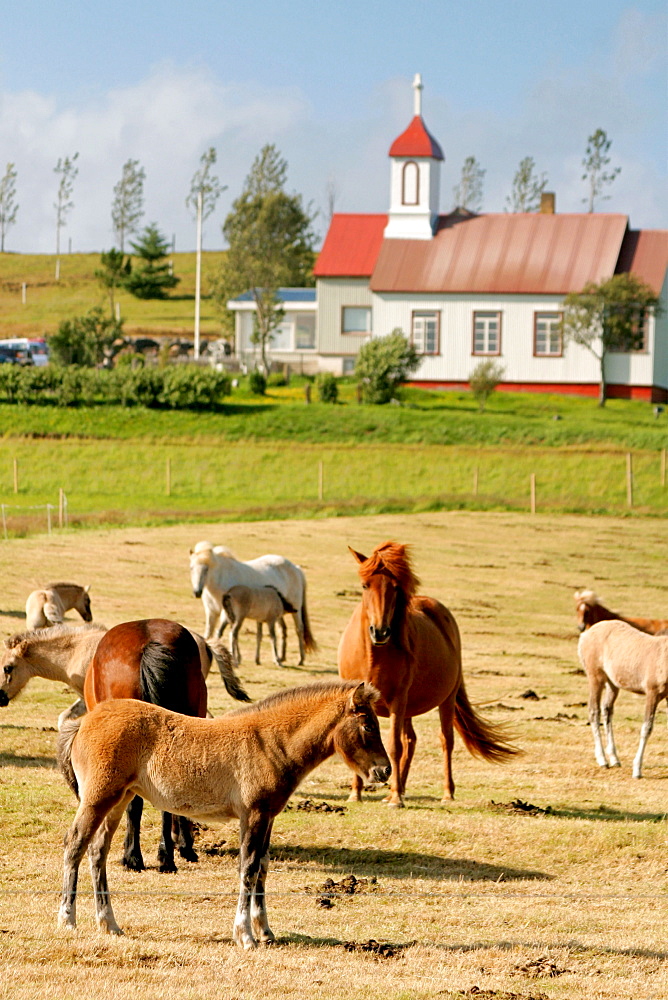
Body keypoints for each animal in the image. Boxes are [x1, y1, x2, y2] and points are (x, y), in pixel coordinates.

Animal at [57, 680, 392, 944]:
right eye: (368, 726)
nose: (384, 770)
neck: (270, 742)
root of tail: (83, 722)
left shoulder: (268, 816)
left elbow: (262, 867)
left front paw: (265, 932)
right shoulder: (253, 814)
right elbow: (248, 868)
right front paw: (245, 935)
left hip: (119, 799)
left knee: (97, 851)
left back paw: (109, 924)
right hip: (99, 797)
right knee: (75, 844)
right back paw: (67, 920)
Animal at [188, 540, 318, 664]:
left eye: (206, 569)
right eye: (191, 568)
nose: (197, 592)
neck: (220, 579)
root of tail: (297, 569)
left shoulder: (228, 614)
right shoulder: (212, 612)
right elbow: (209, 634)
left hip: (296, 609)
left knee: (299, 629)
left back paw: (300, 659)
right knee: (283, 629)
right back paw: (281, 657)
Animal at [336, 544, 520, 808]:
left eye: (395, 587)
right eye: (364, 585)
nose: (380, 631)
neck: (372, 657)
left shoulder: (398, 701)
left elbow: (394, 746)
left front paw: (395, 799)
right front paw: (356, 793)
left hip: (445, 701)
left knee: (445, 741)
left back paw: (444, 793)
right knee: (411, 741)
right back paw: (398, 789)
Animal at [576, 620, 664, 776]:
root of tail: (585, 634)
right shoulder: (652, 693)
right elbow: (647, 728)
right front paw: (637, 770)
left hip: (612, 684)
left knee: (607, 710)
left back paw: (614, 759)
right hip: (595, 678)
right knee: (594, 711)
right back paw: (603, 760)